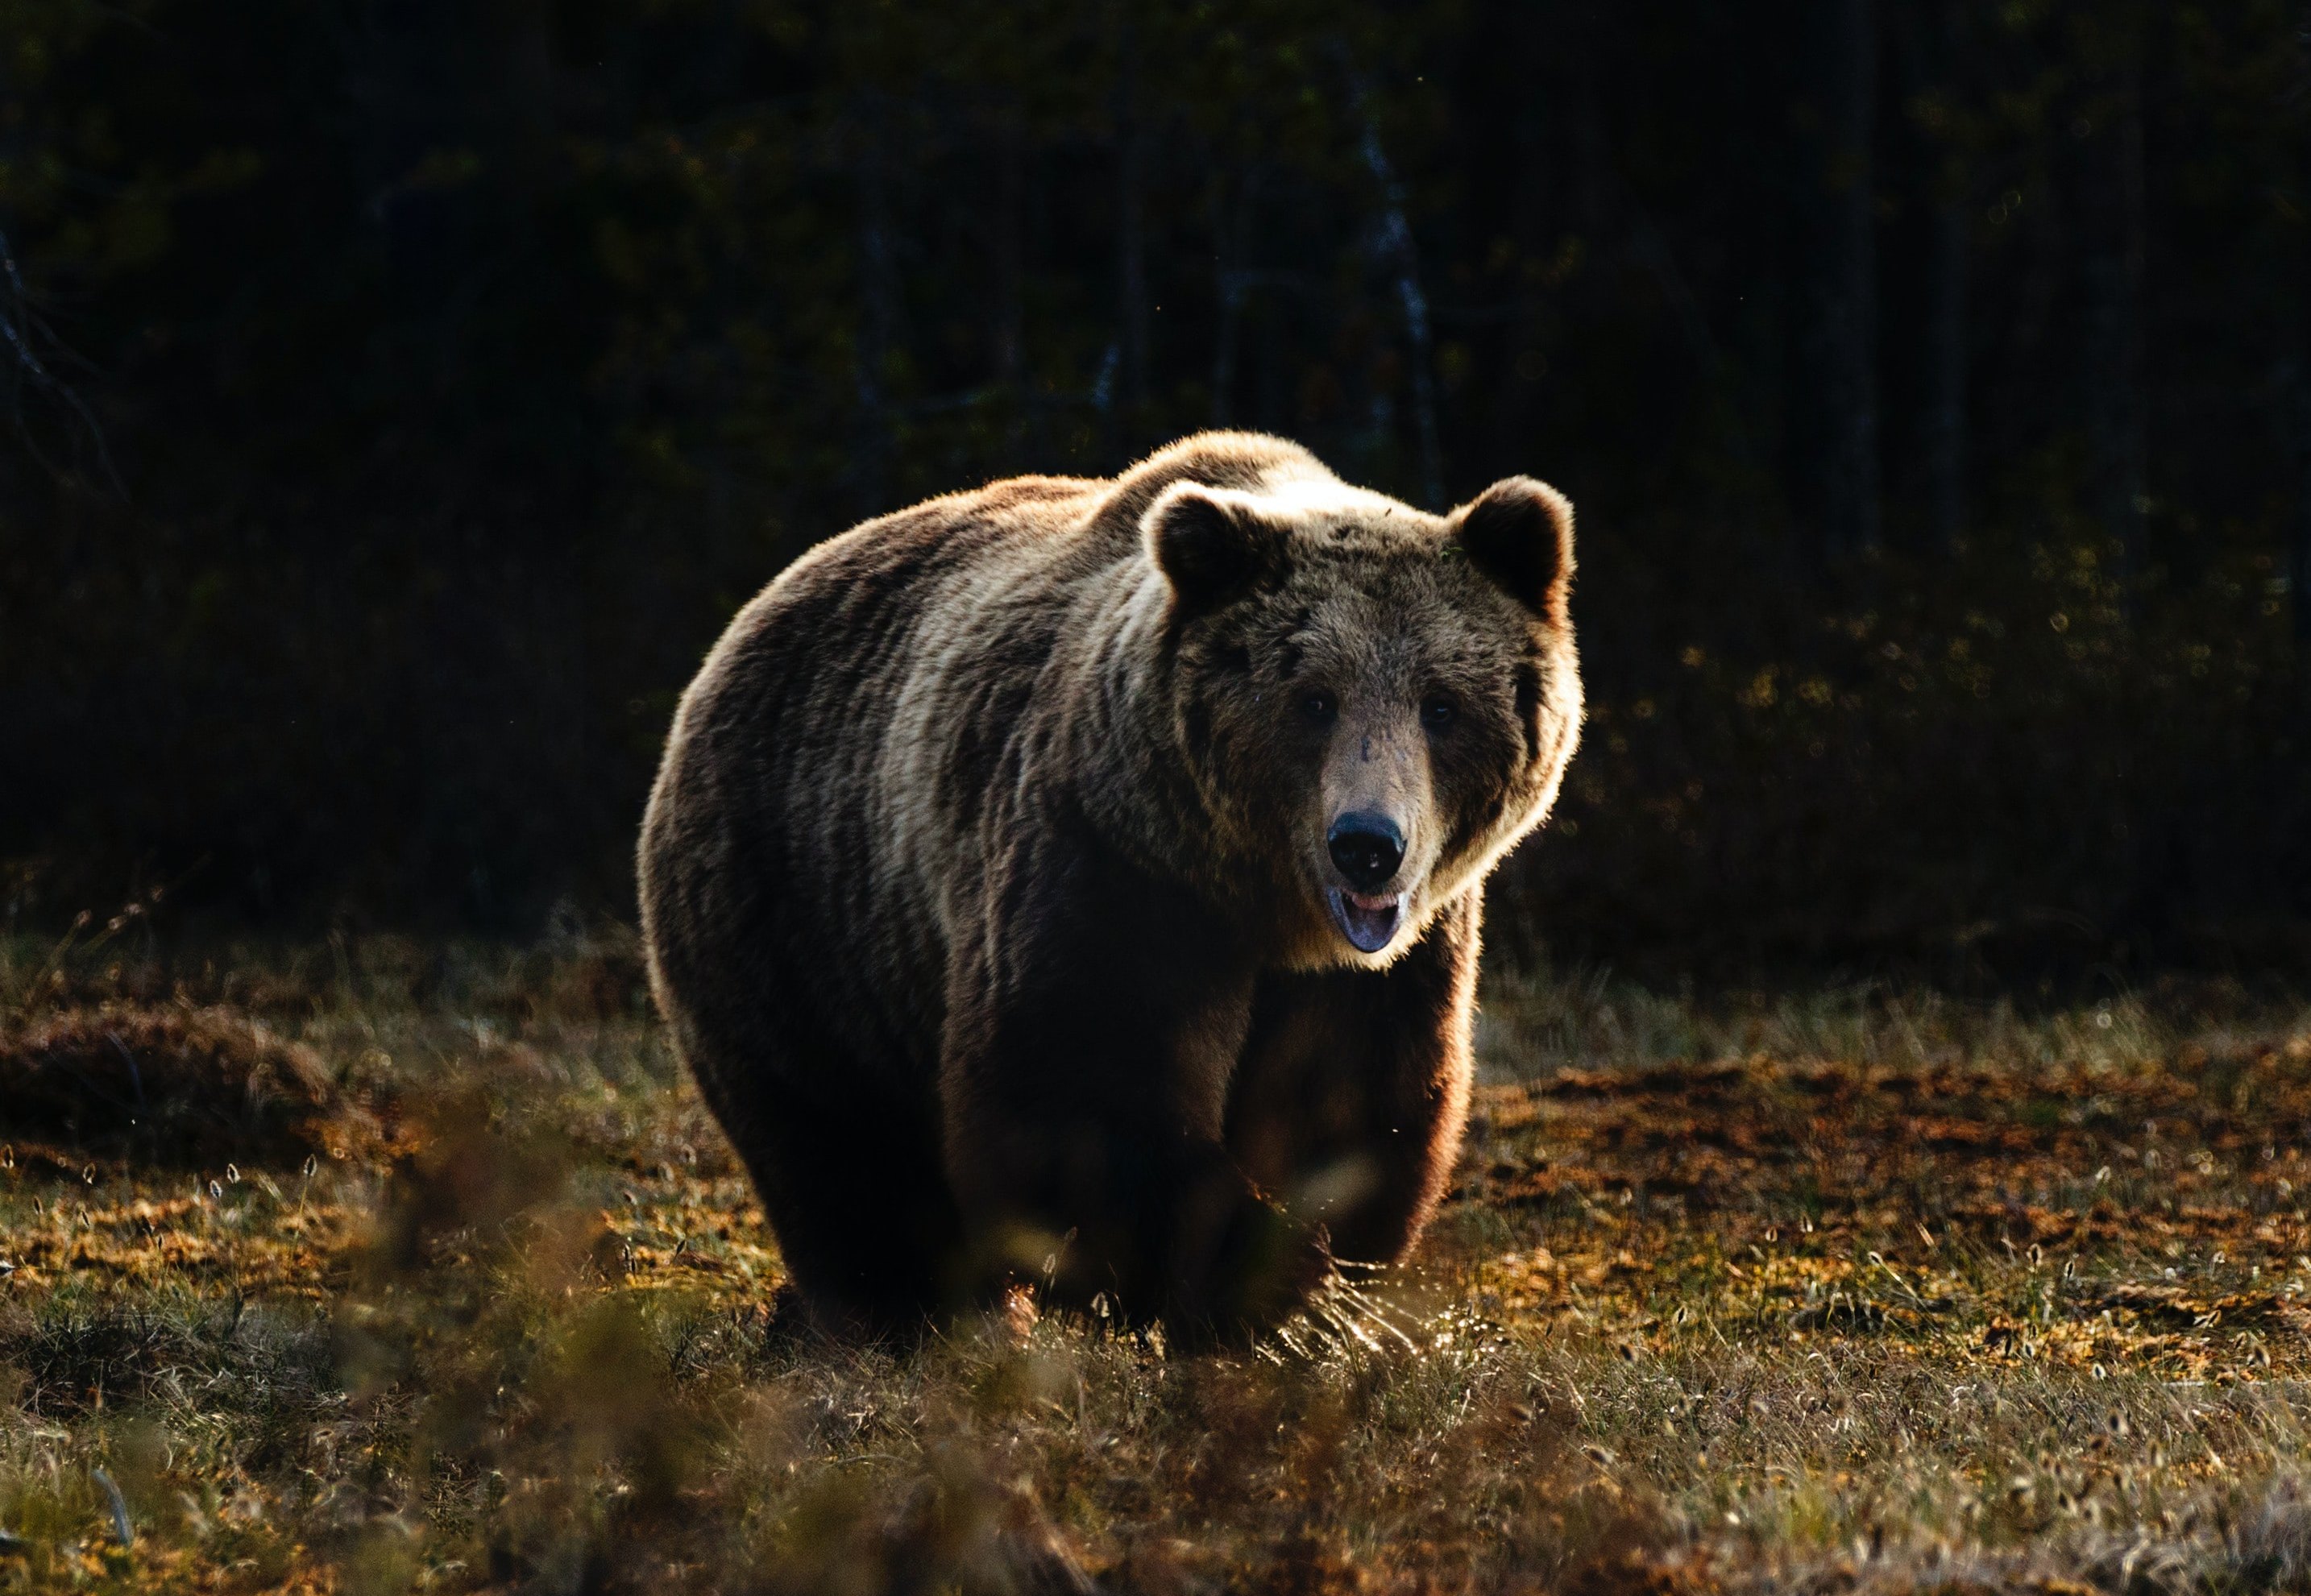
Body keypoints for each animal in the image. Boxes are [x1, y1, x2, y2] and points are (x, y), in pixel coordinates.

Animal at [642, 432, 1580, 1339]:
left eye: (1440, 704)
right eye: (1313, 699)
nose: (1368, 847)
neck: (1262, 905)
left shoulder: (1391, 962)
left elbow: (1351, 1108)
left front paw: (1311, 1286)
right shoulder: (1112, 866)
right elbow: (1080, 1094)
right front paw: (1255, 1284)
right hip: (799, 909)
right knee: (841, 1149)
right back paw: (901, 1316)